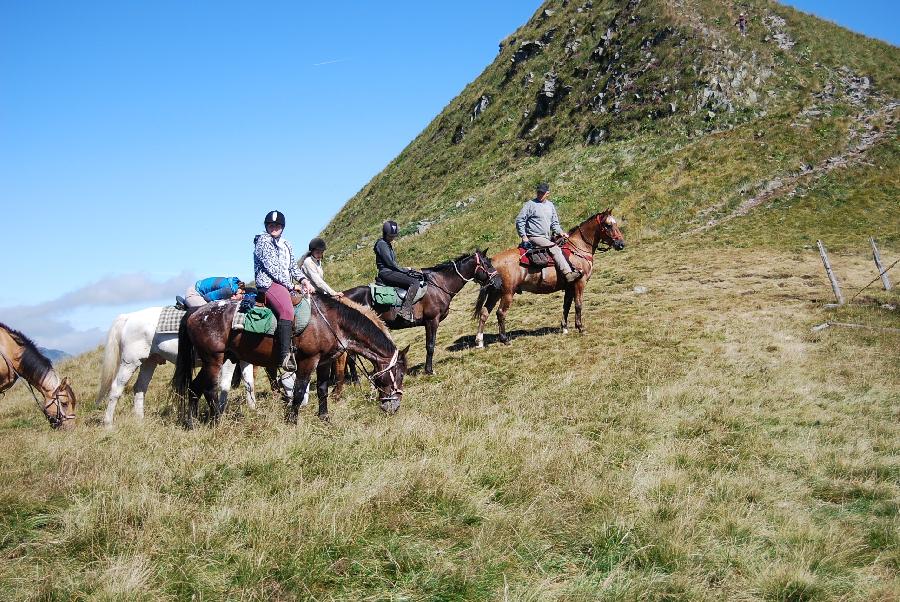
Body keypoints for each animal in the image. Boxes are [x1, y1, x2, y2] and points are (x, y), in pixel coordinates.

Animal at [96, 304, 292, 426]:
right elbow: (225, 385)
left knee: (140, 388)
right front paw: (221, 412)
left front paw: (252, 410)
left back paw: (140, 420)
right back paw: (108, 423)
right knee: (116, 389)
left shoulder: (243, 359)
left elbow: (248, 382)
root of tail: (128, 317)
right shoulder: (229, 360)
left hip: (149, 362)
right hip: (129, 362)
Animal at [173, 294, 412, 424]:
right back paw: (217, 421)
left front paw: (324, 417)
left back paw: (192, 423)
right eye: (398, 375)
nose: (394, 406)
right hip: (213, 360)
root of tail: (196, 312)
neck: (331, 322)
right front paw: (292, 420)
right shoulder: (308, 360)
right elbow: (298, 391)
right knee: (209, 389)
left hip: (217, 360)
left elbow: (322, 389)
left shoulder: (324, 362)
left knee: (194, 388)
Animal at [342, 248, 502, 376]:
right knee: (351, 357)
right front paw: (429, 370)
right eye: (487, 264)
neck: (439, 285)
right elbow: (430, 346)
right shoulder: (432, 320)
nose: (499, 282)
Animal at [472, 209, 624, 344]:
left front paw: (564, 328)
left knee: (484, 312)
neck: (578, 249)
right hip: (507, 293)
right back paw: (504, 339)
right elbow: (578, 305)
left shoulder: (569, 286)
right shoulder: (580, 283)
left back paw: (479, 341)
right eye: (608, 225)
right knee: (500, 313)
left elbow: (566, 305)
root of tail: (492, 261)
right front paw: (581, 328)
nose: (621, 244)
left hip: (495, 293)